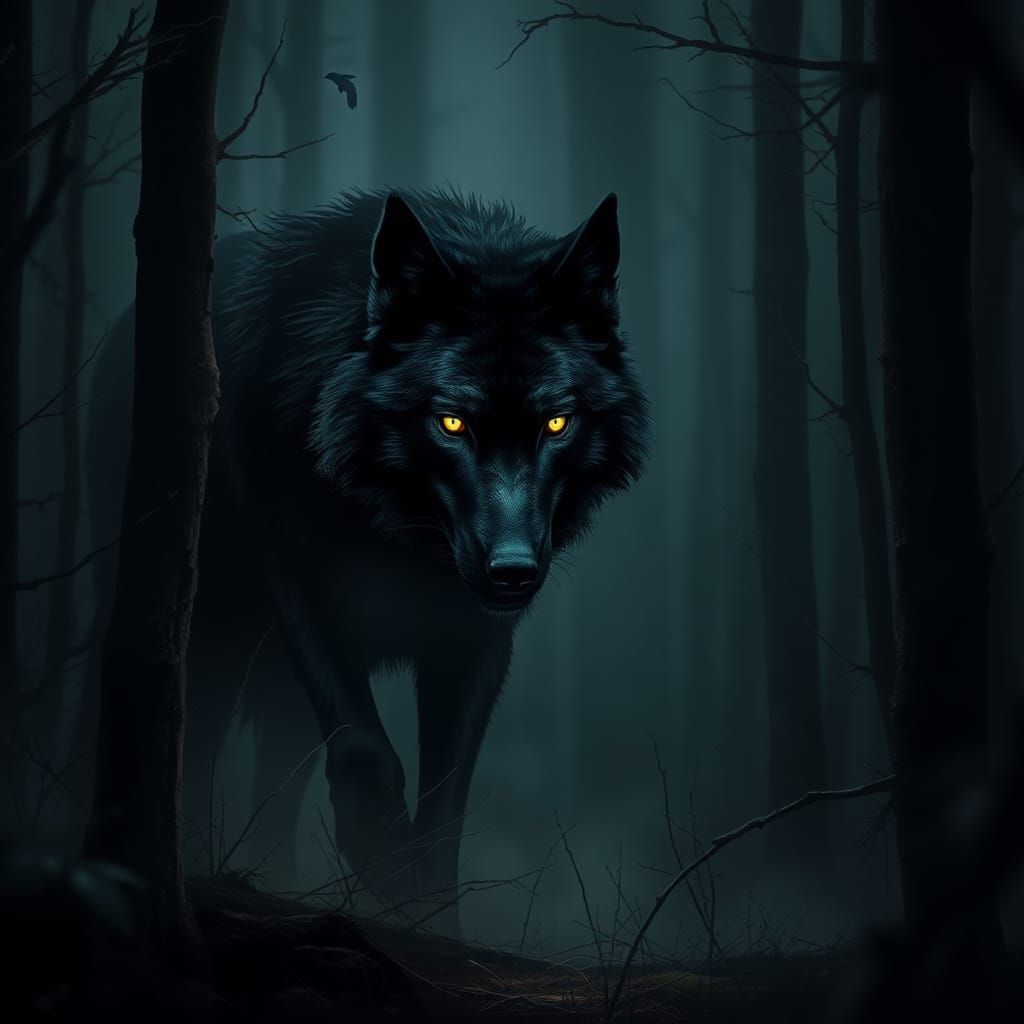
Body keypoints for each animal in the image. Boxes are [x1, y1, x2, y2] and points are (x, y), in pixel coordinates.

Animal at [86, 188, 649, 932]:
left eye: (556, 423)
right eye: (451, 422)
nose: (512, 571)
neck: (399, 541)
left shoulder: (472, 642)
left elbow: (445, 806)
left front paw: (431, 917)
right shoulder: (302, 588)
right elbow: (365, 753)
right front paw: (382, 860)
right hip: (202, 636)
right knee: (186, 738)